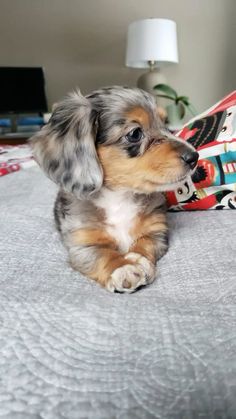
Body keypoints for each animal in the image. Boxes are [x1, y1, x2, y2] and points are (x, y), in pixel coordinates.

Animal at [30, 87, 198, 294]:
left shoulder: (156, 231)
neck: (119, 197)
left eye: (166, 124)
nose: (194, 156)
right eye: (135, 134)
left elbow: (145, 243)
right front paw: (122, 268)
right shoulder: (83, 244)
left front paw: (138, 259)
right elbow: (102, 254)